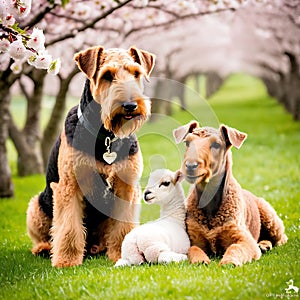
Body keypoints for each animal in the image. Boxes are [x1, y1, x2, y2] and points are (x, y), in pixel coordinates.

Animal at [25, 45, 155, 268]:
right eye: (107, 75)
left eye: (136, 73)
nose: (130, 105)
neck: (106, 136)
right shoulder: (69, 186)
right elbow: (69, 227)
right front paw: (67, 261)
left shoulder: (126, 186)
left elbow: (123, 225)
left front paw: (123, 254)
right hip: (36, 206)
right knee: (45, 235)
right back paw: (44, 248)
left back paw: (97, 248)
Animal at [175, 120, 288, 266]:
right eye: (187, 142)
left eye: (216, 144)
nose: (190, 165)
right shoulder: (193, 238)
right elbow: (193, 249)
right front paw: (201, 260)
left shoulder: (242, 237)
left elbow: (235, 248)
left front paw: (228, 262)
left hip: (270, 219)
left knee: (280, 238)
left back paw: (264, 245)